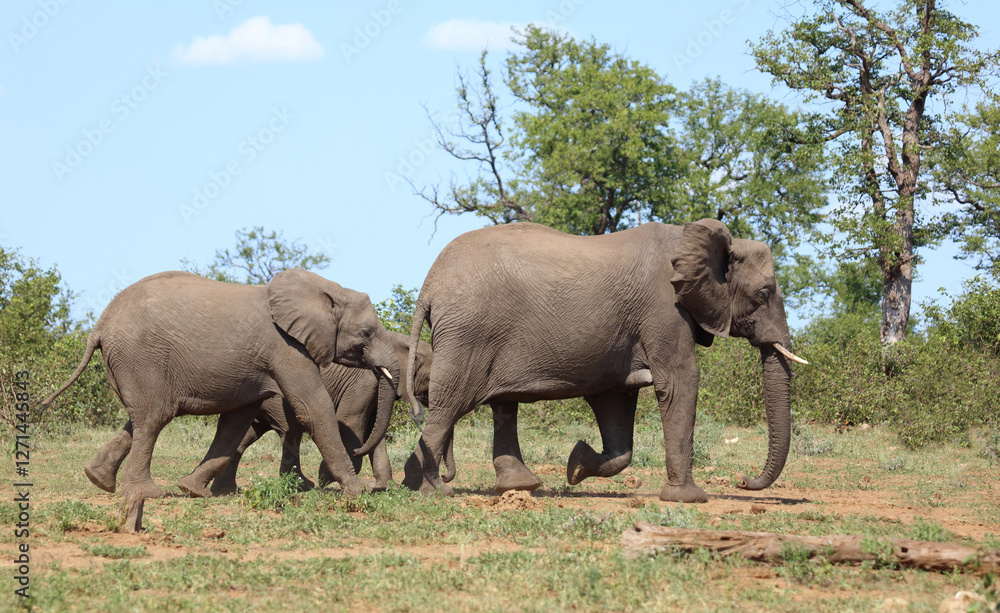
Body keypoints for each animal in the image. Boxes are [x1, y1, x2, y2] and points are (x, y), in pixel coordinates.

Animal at [41, 269, 400, 500]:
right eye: (366, 333)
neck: (325, 289)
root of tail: (99, 325)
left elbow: (236, 422)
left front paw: (192, 489)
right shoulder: (286, 347)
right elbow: (314, 408)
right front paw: (356, 492)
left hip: (131, 362)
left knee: (139, 419)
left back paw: (99, 479)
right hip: (141, 356)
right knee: (154, 418)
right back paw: (148, 493)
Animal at [206, 331, 435, 495]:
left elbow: (375, 430)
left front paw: (390, 488)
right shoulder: (365, 382)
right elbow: (353, 422)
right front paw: (326, 478)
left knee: (246, 437)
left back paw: (225, 490)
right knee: (290, 431)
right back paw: (305, 486)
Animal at [402, 219, 806, 503]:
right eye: (763, 293)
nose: (744, 480)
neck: (693, 237)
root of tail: (429, 285)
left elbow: (617, 405)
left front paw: (576, 465)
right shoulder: (665, 310)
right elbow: (680, 383)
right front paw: (688, 499)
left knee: (501, 405)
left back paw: (517, 486)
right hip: (470, 334)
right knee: (449, 406)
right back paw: (431, 491)